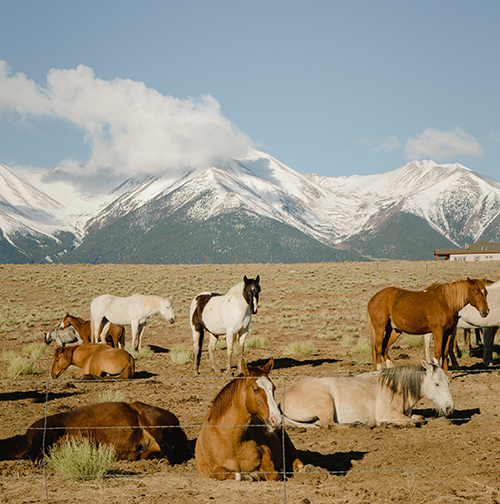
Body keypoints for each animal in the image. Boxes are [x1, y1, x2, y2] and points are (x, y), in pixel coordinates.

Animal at [282, 360, 454, 428]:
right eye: (437, 383)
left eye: (448, 382)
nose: (450, 408)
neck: (394, 388)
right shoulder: (386, 414)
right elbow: (411, 421)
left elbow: (418, 418)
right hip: (326, 401)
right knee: (331, 424)